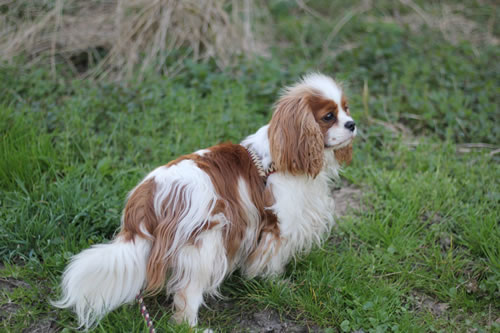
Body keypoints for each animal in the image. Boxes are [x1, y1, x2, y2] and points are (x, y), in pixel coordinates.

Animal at [52, 72, 358, 326]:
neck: (279, 159)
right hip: (204, 245)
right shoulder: (278, 225)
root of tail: (145, 199)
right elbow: (271, 261)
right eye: (328, 116)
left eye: (346, 108)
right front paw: (278, 284)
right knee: (186, 298)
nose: (353, 124)